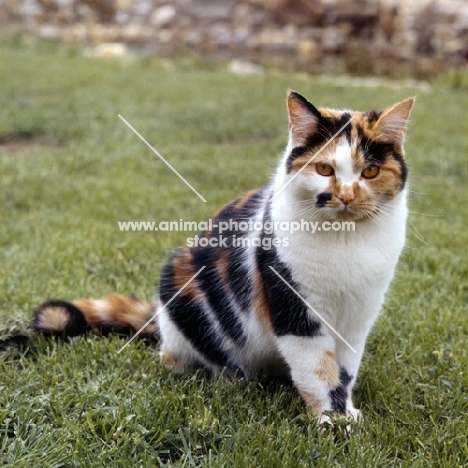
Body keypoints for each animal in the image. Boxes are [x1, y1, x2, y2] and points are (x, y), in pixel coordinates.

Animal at [32, 91, 414, 420]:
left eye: (370, 171)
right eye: (324, 170)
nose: (347, 196)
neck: (345, 241)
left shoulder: (358, 315)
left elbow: (345, 369)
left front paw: (346, 414)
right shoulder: (292, 306)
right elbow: (318, 369)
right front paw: (332, 422)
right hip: (179, 286)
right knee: (178, 357)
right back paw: (230, 377)